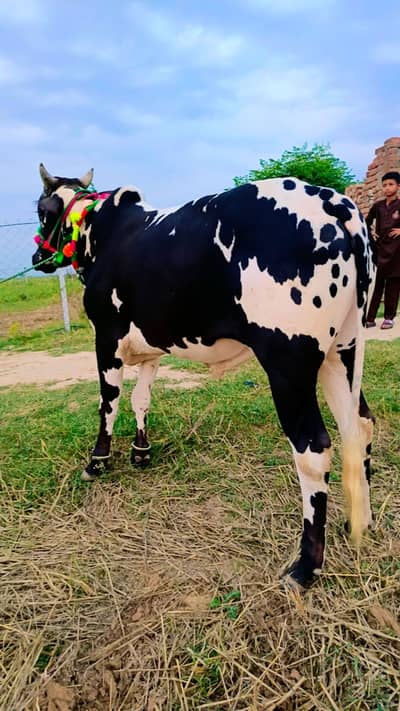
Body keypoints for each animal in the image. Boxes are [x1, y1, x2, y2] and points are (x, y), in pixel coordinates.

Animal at [32, 163, 375, 589]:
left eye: (42, 211)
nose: (38, 256)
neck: (104, 233)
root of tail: (332, 201)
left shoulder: (105, 339)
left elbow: (108, 405)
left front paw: (97, 461)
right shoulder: (153, 346)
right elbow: (141, 399)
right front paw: (141, 451)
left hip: (288, 364)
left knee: (313, 449)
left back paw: (305, 566)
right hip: (341, 352)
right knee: (359, 426)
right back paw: (359, 522)